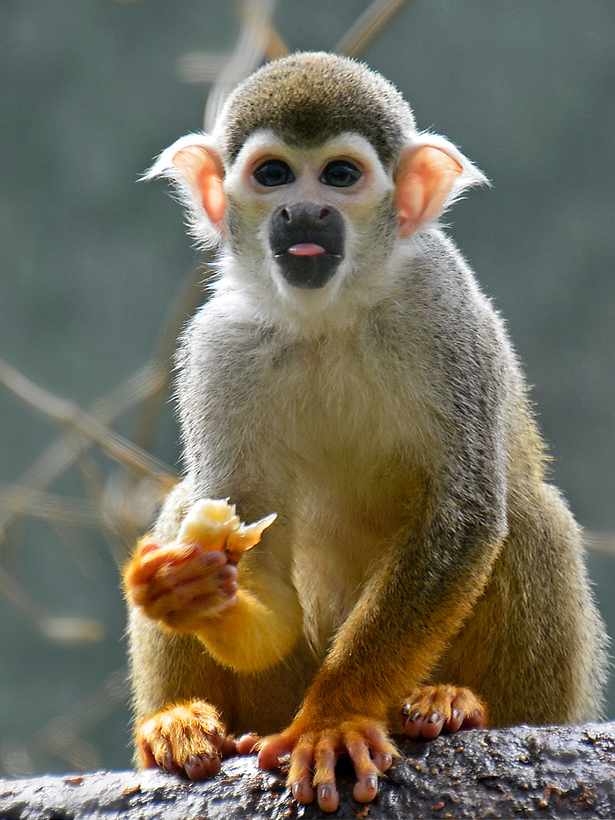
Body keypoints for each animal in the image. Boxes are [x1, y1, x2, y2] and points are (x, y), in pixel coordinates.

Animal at [122, 51, 608, 812]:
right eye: (273, 174)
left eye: (340, 176)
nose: (302, 210)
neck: (329, 313)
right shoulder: (217, 346)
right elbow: (252, 549)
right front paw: (198, 594)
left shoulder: (440, 307)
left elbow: (462, 518)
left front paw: (335, 717)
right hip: (271, 703)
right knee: (184, 501)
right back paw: (178, 724)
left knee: (529, 512)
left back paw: (458, 706)